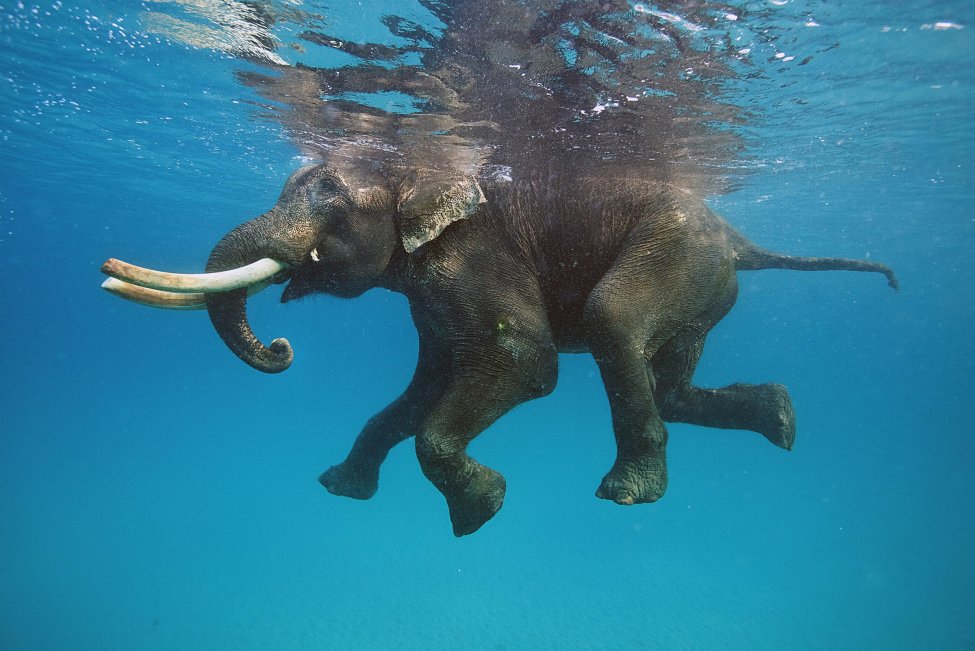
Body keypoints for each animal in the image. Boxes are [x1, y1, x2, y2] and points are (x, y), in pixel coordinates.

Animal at [101, 164, 898, 536]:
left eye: (331, 202)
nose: (279, 346)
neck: (419, 173)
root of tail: (739, 237)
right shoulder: (430, 295)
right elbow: (422, 389)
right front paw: (339, 488)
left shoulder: (478, 258)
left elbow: (524, 365)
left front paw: (479, 511)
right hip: (703, 284)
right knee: (667, 383)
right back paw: (782, 418)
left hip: (679, 255)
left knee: (614, 323)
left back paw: (628, 493)